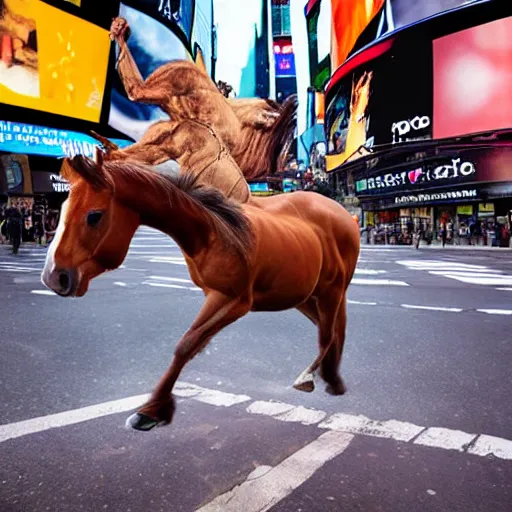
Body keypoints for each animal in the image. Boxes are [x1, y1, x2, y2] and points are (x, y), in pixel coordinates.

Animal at [41, 155, 360, 432]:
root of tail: (346, 216)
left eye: (94, 216)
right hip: (302, 296)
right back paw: (331, 377)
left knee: (328, 332)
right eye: (62, 211)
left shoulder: (236, 300)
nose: (54, 277)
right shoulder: (215, 295)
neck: (211, 233)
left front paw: (153, 410)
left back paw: (312, 377)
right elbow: (190, 343)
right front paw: (151, 411)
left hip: (331, 290)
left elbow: (187, 344)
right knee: (332, 328)